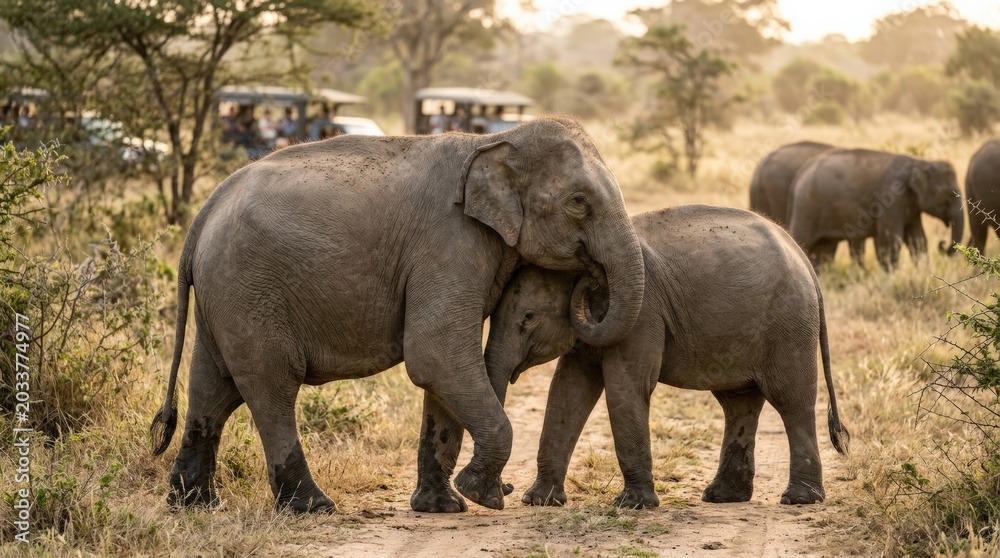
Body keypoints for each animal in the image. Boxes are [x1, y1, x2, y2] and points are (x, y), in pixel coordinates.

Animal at [149, 117, 646, 514]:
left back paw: (193, 506)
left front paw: (443, 506)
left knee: (213, 387)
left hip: (225, 294)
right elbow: (436, 353)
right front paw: (479, 495)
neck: (495, 140)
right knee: (271, 387)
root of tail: (203, 215)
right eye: (579, 202)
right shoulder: (449, 242)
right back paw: (313, 507)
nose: (592, 279)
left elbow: (443, 369)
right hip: (249, 289)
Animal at [484, 205, 850, 510]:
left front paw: (633, 505)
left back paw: (799, 499)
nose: (506, 488)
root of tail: (804, 259)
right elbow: (568, 391)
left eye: (528, 318)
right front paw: (539, 501)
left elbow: (626, 387)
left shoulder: (642, 314)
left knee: (790, 400)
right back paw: (723, 497)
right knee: (739, 402)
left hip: (789, 324)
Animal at [788, 148, 963, 271]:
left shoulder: (912, 206)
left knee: (824, 249)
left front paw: (923, 273)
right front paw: (891, 276)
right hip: (806, 208)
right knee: (803, 239)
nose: (942, 244)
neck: (920, 162)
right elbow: (892, 238)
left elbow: (917, 239)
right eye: (950, 195)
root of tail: (799, 174)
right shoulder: (891, 197)